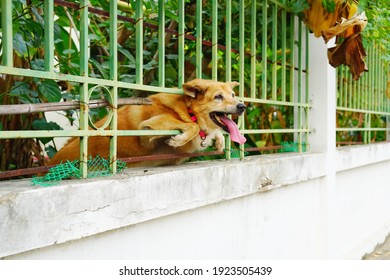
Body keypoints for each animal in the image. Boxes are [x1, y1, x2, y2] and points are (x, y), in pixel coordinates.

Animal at [48, 79, 244, 166]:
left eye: (233, 95)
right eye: (218, 97)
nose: (242, 106)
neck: (189, 111)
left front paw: (218, 139)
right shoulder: (148, 127)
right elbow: (193, 126)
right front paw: (179, 139)